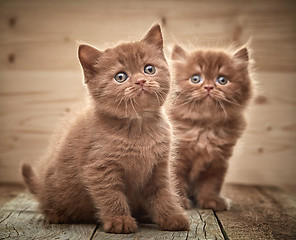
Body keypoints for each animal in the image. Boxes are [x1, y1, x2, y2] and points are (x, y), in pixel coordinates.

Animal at [21, 25, 190, 233]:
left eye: (149, 69)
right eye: (120, 77)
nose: (141, 81)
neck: (138, 126)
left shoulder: (159, 167)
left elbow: (163, 193)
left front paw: (172, 217)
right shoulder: (99, 167)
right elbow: (111, 196)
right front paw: (120, 220)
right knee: (46, 204)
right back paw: (56, 215)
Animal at [170, 44, 253, 210]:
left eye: (222, 80)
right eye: (195, 79)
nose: (208, 87)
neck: (204, 128)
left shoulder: (218, 160)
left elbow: (212, 183)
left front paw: (211, 200)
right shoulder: (177, 157)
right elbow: (176, 180)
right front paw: (179, 202)